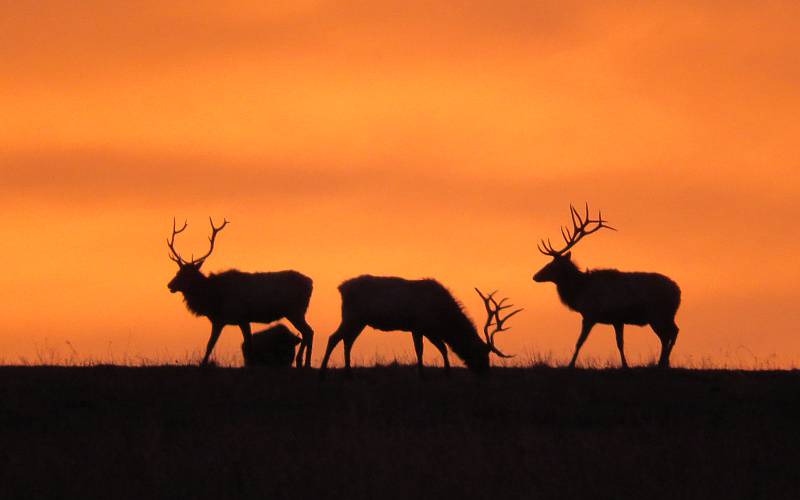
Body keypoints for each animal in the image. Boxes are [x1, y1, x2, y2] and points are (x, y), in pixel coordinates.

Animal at [166, 219, 316, 368]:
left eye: (187, 274)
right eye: (178, 271)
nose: (170, 285)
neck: (213, 299)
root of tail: (311, 283)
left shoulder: (237, 317)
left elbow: (214, 344)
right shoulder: (225, 320)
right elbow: (228, 344)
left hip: (295, 311)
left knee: (308, 331)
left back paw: (304, 362)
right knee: (307, 332)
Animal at [318, 276, 520, 376]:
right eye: (481, 353)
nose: (486, 373)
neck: (441, 317)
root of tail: (341, 288)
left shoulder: (430, 330)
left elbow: (443, 348)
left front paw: (447, 372)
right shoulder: (418, 326)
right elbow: (420, 351)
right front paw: (421, 373)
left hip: (359, 320)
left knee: (347, 340)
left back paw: (347, 371)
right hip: (353, 316)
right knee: (334, 337)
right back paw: (323, 371)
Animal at [532, 205, 680, 370]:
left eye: (552, 265)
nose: (535, 276)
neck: (580, 291)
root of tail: (678, 292)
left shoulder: (590, 315)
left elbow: (580, 342)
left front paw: (570, 364)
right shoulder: (617, 319)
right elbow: (620, 343)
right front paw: (625, 365)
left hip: (657, 314)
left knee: (667, 335)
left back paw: (662, 362)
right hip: (667, 315)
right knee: (673, 332)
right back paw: (664, 362)